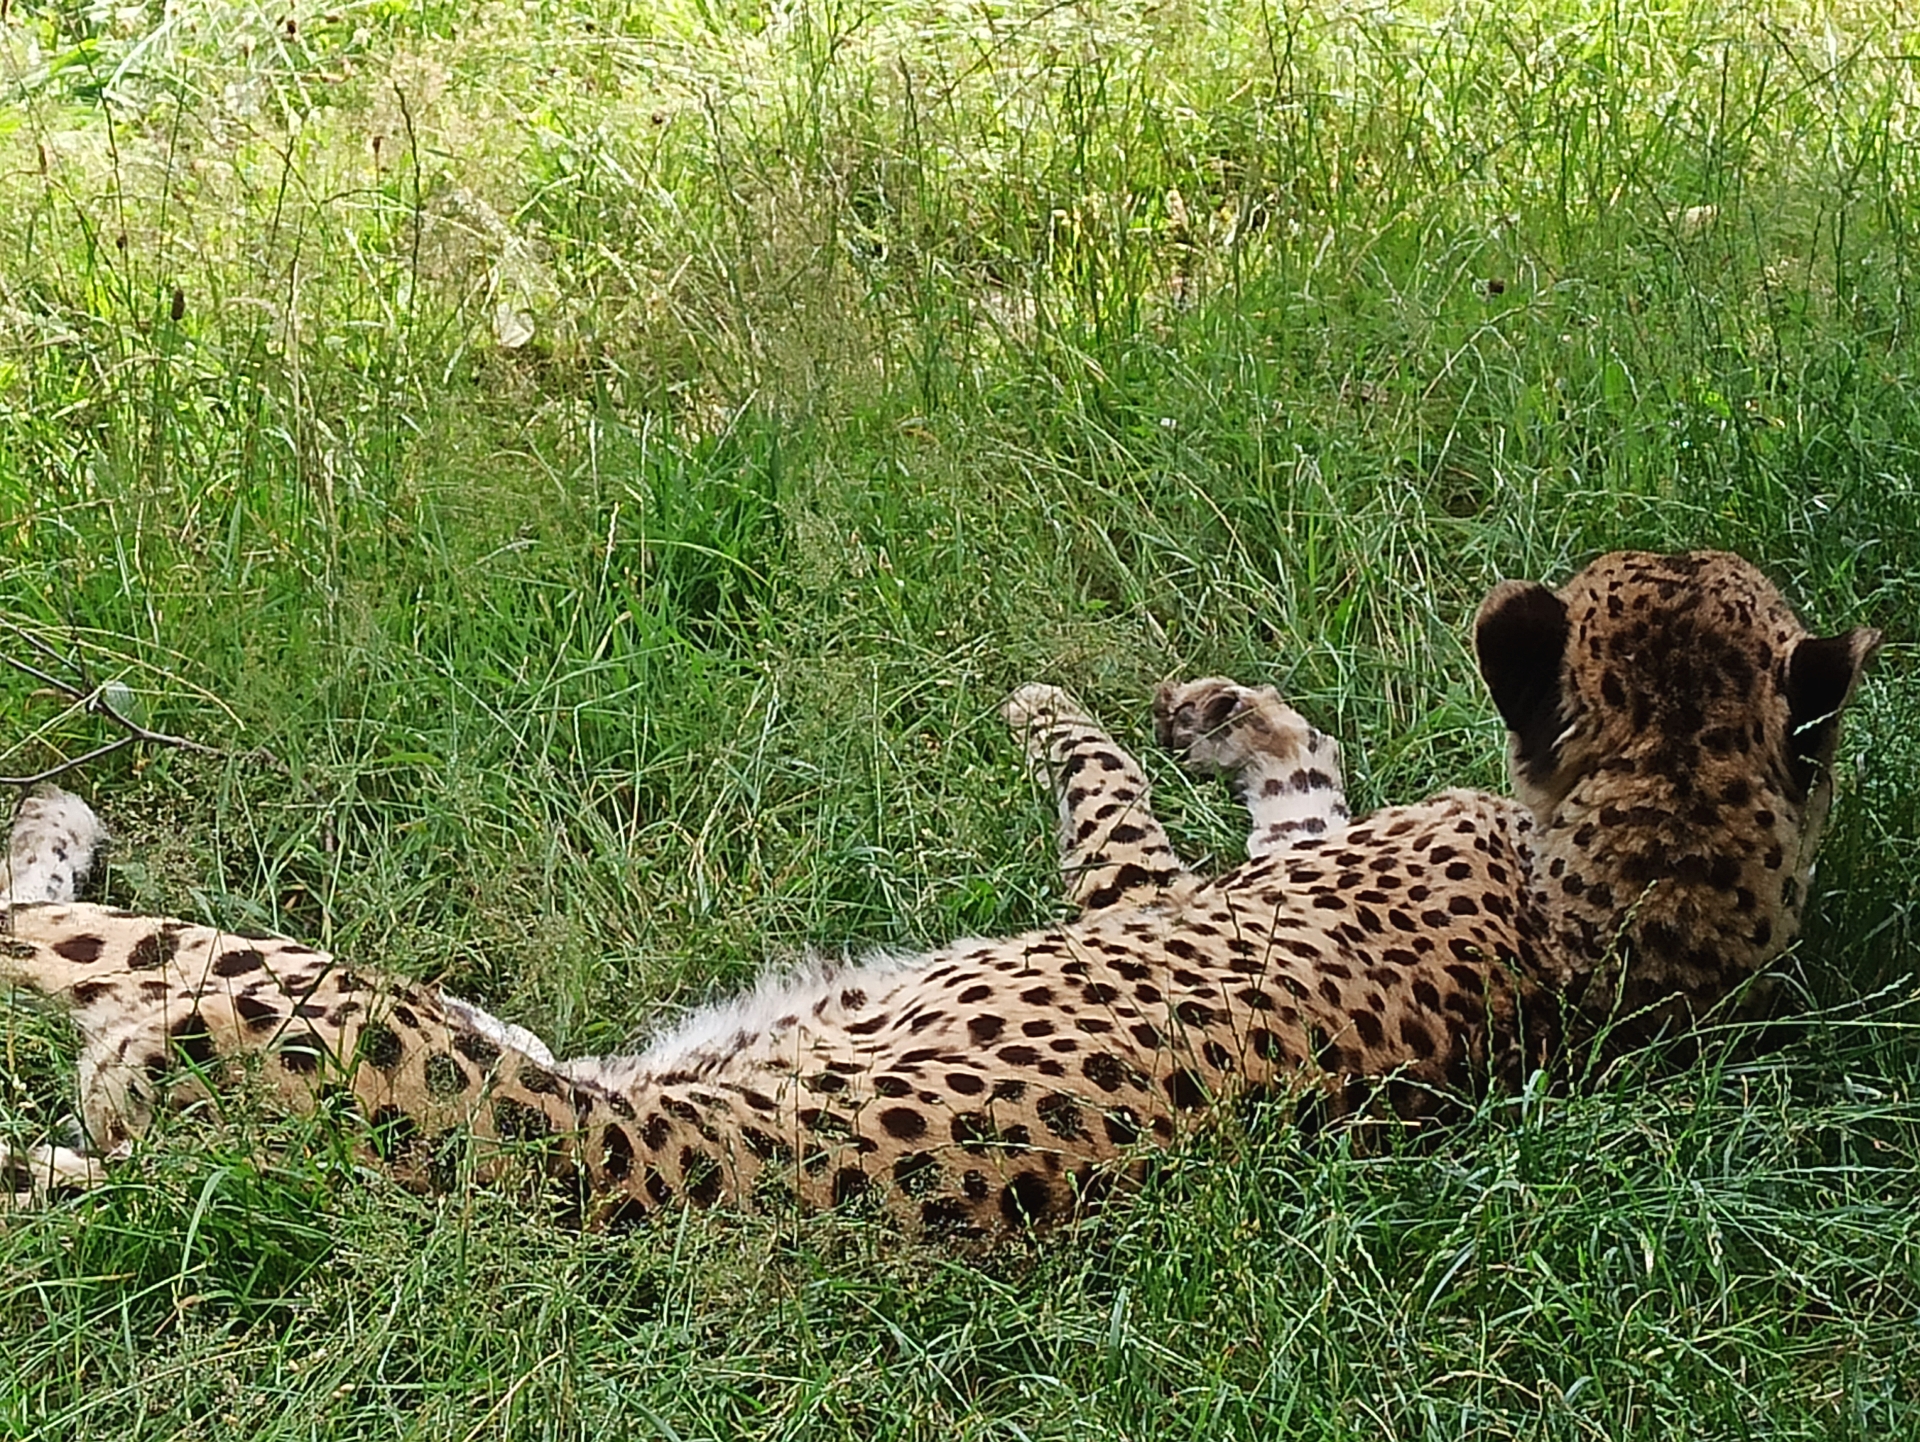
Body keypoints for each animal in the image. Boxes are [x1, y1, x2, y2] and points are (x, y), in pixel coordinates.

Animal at [0, 550, 1879, 1237]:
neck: (1651, 895)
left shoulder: (1131, 889)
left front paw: (1069, 707)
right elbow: (1295, 781)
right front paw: (1233, 712)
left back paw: (53, 804)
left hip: (261, 982)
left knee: (32, 933)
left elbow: (1113, 784)